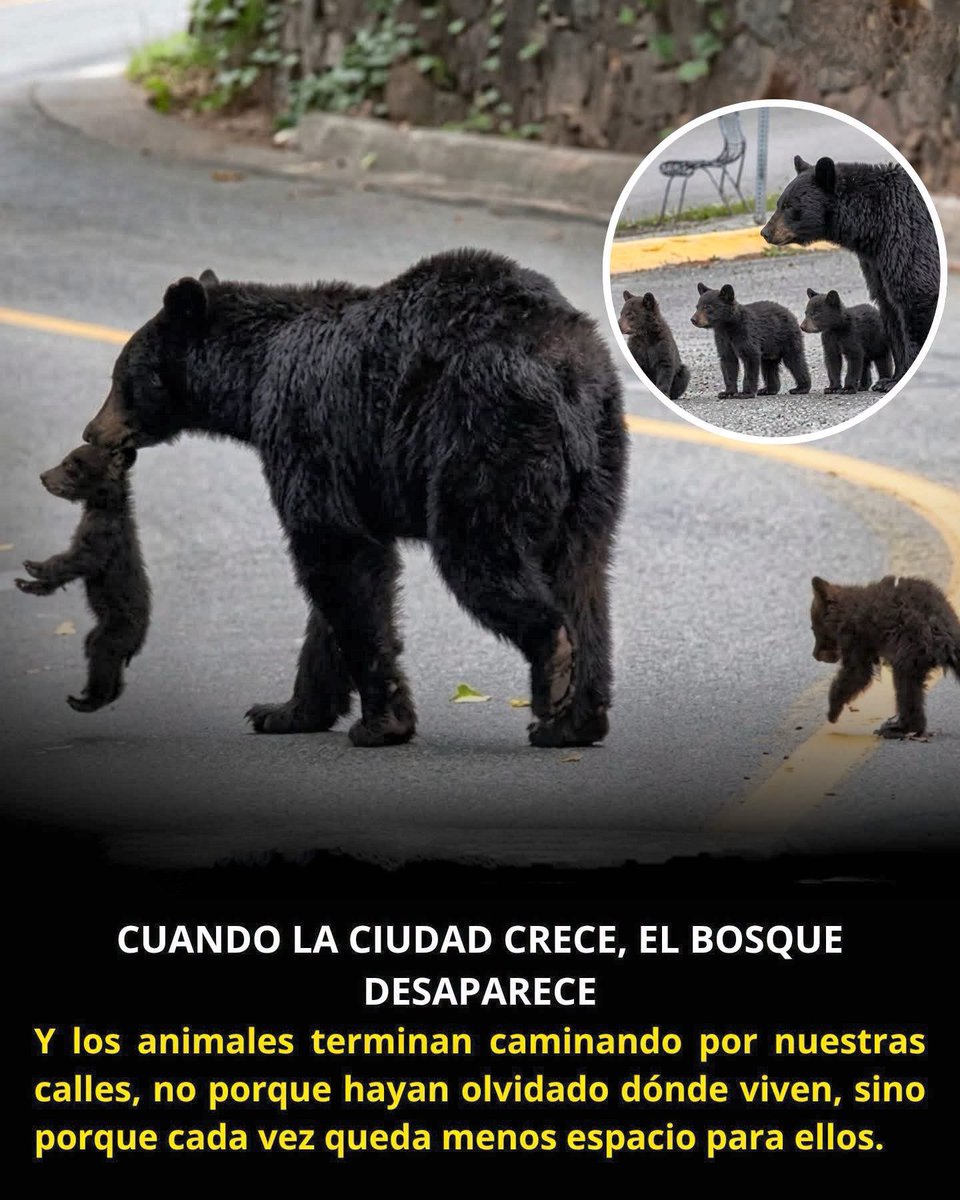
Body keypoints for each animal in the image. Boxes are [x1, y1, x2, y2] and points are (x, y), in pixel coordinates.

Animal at [15, 445, 149, 712]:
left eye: (68, 465)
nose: (43, 476)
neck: (102, 505)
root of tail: (139, 640)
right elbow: (68, 570)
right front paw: (26, 584)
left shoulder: (102, 533)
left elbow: (80, 560)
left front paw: (34, 567)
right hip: (102, 629)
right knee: (98, 653)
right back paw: (101, 694)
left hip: (117, 629)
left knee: (102, 654)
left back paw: (87, 701)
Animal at [81, 250, 628, 749]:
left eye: (119, 378)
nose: (92, 431)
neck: (254, 378)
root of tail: (565, 377)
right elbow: (334, 596)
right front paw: (286, 710)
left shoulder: (306, 429)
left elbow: (336, 553)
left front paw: (382, 721)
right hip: (596, 469)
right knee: (583, 578)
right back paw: (574, 721)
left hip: (485, 436)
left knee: (481, 554)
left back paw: (552, 668)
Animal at [762, 156, 939, 392]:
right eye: (779, 203)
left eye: (789, 206)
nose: (765, 232)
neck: (875, 222)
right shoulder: (876, 261)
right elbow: (888, 306)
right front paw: (891, 379)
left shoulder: (907, 235)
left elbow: (916, 292)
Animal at [810, 575, 960, 739]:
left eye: (813, 629)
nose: (815, 655)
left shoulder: (856, 636)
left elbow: (857, 673)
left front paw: (833, 712)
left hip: (911, 649)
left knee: (906, 687)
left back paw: (900, 727)